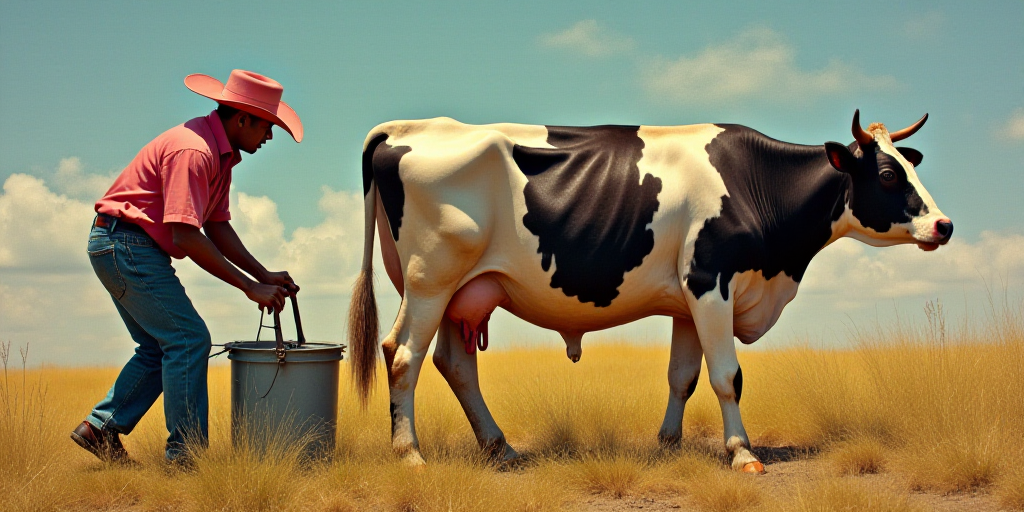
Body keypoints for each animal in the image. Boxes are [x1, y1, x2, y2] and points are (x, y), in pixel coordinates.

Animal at [347, 111, 952, 473]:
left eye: (909, 165)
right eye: (888, 175)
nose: (944, 226)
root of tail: (407, 127)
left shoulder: (690, 299)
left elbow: (683, 376)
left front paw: (669, 444)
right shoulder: (711, 281)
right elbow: (727, 376)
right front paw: (742, 454)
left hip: (463, 291)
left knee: (454, 364)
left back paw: (502, 448)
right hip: (430, 280)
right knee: (402, 356)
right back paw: (410, 455)